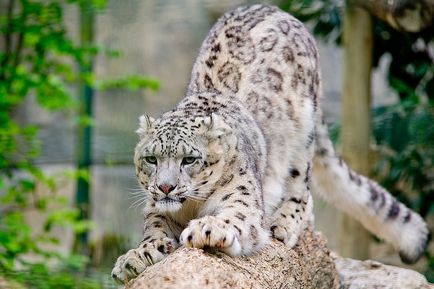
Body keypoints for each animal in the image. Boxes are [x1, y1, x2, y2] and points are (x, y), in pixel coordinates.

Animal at [110, 3, 428, 284]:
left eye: (189, 159)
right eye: (151, 159)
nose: (165, 187)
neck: (190, 206)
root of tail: (277, 9)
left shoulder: (242, 198)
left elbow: (237, 214)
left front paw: (208, 228)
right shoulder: (156, 209)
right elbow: (154, 229)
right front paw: (136, 256)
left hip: (303, 135)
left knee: (302, 188)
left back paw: (284, 222)